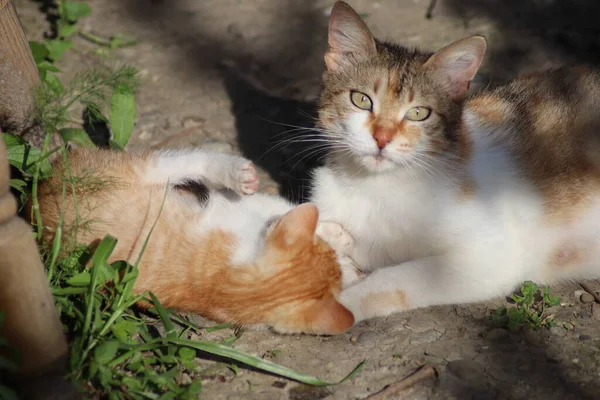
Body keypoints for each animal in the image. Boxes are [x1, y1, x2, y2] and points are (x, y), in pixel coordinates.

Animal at [35, 147, 356, 334]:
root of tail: (42, 189)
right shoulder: (235, 212)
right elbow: (284, 207)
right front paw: (339, 240)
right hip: (141, 170)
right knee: (190, 160)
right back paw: (233, 172)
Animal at [310, 1, 600, 322]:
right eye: (361, 100)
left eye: (418, 113)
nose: (382, 138)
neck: (376, 187)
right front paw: (335, 245)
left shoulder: (491, 256)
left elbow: (394, 278)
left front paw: (331, 306)